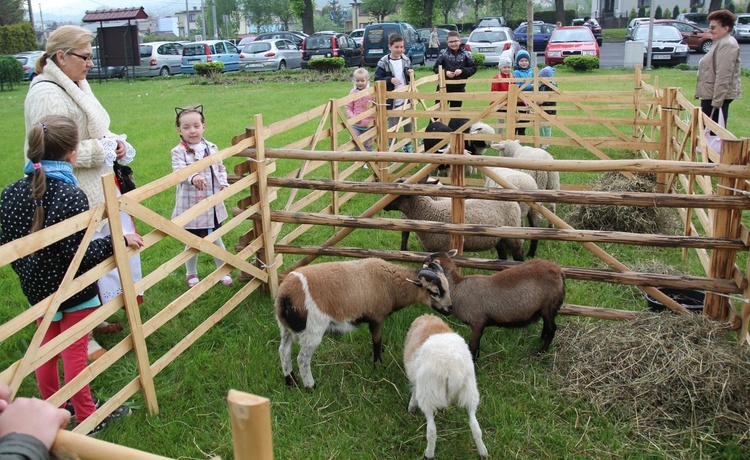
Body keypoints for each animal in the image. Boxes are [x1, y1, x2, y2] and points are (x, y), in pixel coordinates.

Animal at [276, 258, 452, 388]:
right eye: (434, 292)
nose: (450, 309)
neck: (392, 284)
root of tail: (285, 295)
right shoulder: (377, 317)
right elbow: (377, 341)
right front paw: (378, 365)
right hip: (313, 329)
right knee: (302, 358)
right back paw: (310, 386)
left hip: (285, 327)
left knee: (283, 351)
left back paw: (290, 381)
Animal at [384, 181, 524, 262]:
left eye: (397, 195)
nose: (383, 205)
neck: (430, 212)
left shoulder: (444, 249)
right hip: (499, 236)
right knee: (502, 253)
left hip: (513, 234)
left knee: (518, 254)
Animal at [406, 314, 488, 458]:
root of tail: (452, 368)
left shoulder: (418, 383)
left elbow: (414, 393)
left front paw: (411, 408)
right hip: (470, 391)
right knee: (475, 426)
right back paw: (483, 452)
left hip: (428, 394)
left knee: (432, 430)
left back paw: (429, 454)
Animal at [424, 248, 564, 360]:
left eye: (429, 262)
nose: (424, 259)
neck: (457, 287)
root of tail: (558, 270)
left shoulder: (478, 322)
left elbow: (473, 347)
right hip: (546, 308)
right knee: (547, 326)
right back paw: (540, 342)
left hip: (549, 305)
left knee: (552, 329)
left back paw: (541, 352)